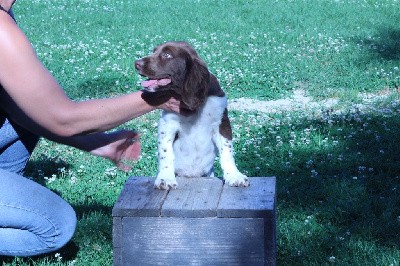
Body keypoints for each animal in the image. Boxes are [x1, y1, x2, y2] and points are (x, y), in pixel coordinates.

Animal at [135, 40, 247, 189]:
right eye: (154, 51)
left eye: (167, 54)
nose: (136, 63)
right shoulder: (167, 124)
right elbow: (166, 153)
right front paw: (165, 178)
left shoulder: (222, 122)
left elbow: (227, 151)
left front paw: (234, 176)